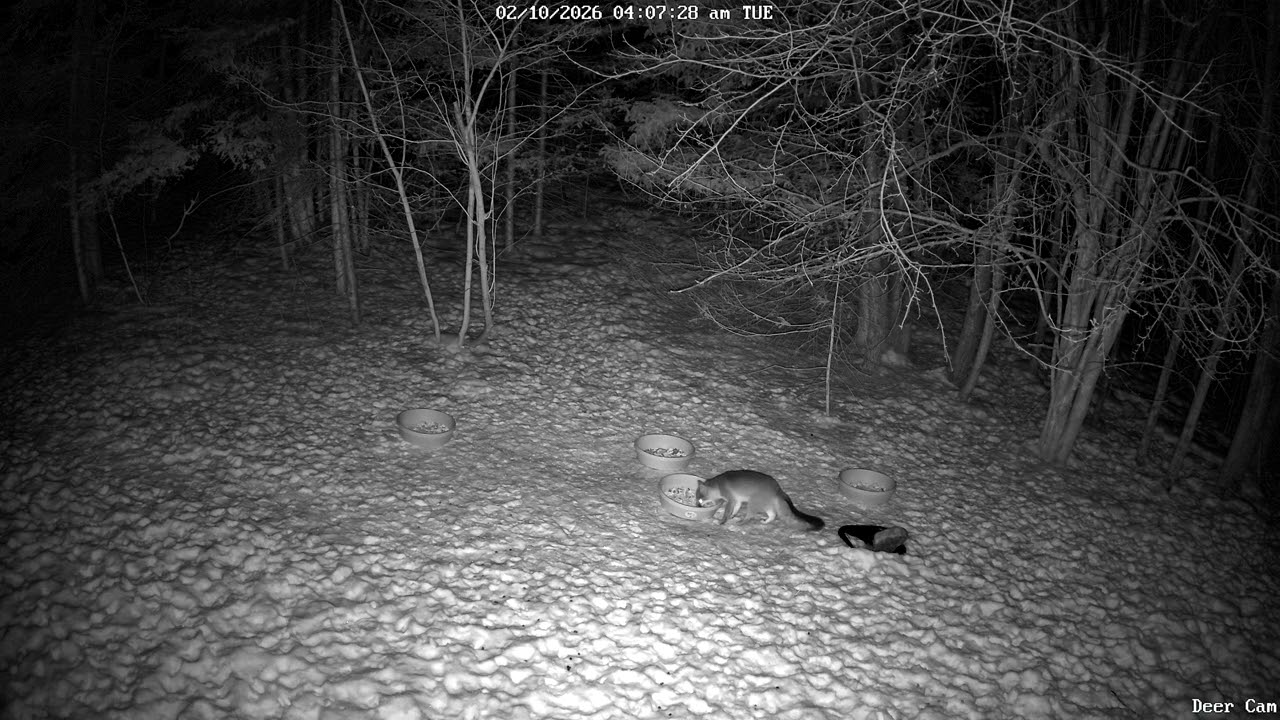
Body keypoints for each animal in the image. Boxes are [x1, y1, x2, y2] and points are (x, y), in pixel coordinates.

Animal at [697, 470, 825, 531]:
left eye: (700, 500)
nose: (697, 507)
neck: (718, 484)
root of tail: (778, 489)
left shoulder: (731, 500)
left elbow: (727, 512)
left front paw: (722, 522)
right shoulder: (737, 500)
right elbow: (735, 510)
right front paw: (732, 516)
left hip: (753, 503)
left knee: (750, 516)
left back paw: (740, 523)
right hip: (765, 505)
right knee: (773, 515)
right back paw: (764, 522)